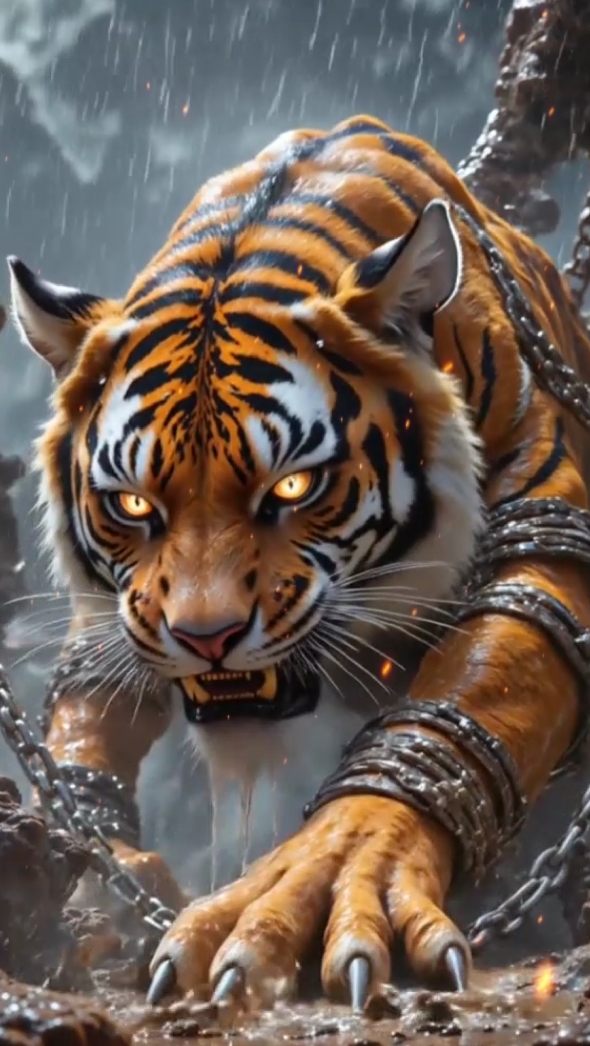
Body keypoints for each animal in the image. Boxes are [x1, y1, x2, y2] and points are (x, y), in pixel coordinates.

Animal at [8, 114, 590, 1009]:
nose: (205, 638)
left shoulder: (547, 512)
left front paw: (325, 873)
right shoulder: (116, 610)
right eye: (134, 505)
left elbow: (490, 676)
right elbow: (94, 695)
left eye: (291, 485)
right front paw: (97, 882)